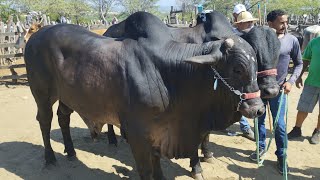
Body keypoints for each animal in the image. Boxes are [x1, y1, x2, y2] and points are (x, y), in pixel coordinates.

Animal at [25, 11, 264, 180]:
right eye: (237, 69)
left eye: (256, 66)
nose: (258, 109)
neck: (171, 74)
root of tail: (35, 36)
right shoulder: (136, 132)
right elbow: (145, 170)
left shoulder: (158, 131)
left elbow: (157, 162)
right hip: (42, 94)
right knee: (44, 121)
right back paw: (50, 158)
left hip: (67, 96)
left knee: (63, 117)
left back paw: (71, 152)